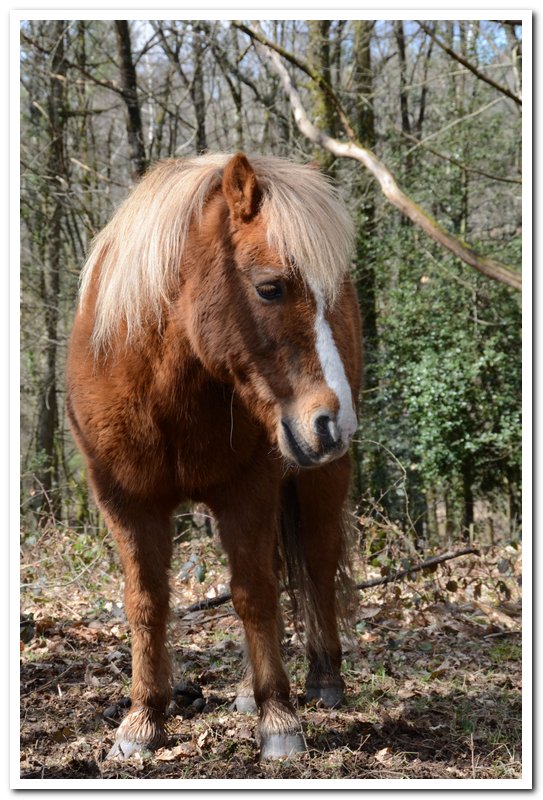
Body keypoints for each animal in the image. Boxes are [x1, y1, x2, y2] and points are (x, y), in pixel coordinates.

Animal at [68, 153, 364, 760]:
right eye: (270, 288)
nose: (333, 424)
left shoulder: (246, 491)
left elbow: (254, 594)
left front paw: (279, 721)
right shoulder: (126, 503)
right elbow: (146, 602)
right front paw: (141, 721)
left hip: (321, 480)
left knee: (317, 565)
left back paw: (322, 679)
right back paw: (249, 691)